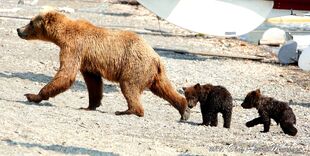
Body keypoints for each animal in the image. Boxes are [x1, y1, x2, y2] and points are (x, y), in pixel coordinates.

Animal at [18, 11, 191, 120]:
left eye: (30, 22)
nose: (18, 29)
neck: (62, 36)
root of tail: (156, 58)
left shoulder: (74, 48)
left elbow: (66, 74)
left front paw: (32, 95)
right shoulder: (87, 61)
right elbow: (93, 82)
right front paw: (90, 105)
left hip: (134, 67)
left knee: (129, 86)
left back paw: (127, 111)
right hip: (154, 74)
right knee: (164, 88)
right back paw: (184, 109)